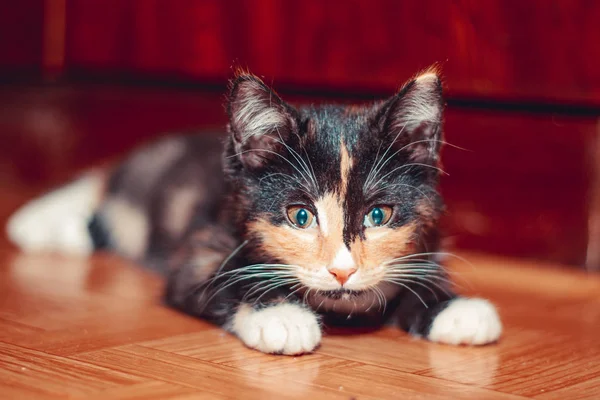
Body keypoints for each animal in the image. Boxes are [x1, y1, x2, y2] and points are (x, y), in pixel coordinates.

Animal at [7, 70, 502, 354]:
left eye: (378, 216)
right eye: (301, 216)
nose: (342, 271)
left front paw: (450, 306)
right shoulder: (200, 248)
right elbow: (222, 278)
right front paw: (280, 315)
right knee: (102, 186)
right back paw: (43, 223)